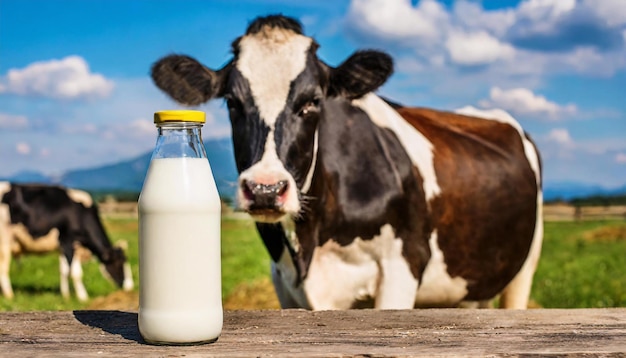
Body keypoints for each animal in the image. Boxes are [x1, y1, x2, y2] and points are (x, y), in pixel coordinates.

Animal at [0, 182, 133, 302]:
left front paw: (66, 296)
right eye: (119, 263)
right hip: (5, 240)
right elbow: (75, 273)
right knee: (3, 268)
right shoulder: (69, 242)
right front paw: (83, 297)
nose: (130, 287)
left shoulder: (63, 247)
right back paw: (9, 295)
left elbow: (63, 270)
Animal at [151, 14, 540, 310]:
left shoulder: (403, 266)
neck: (312, 238)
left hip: (524, 266)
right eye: (232, 102)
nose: (265, 189)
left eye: (313, 101)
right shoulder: (285, 281)